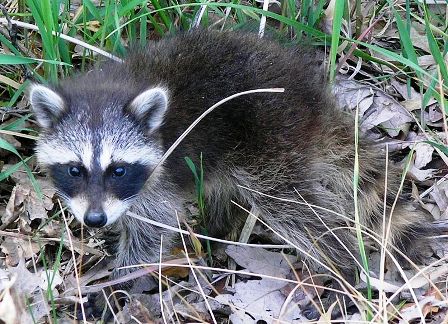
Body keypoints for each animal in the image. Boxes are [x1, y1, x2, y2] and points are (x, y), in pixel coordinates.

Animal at [30, 29, 440, 318]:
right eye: (75, 169)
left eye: (118, 169)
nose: (95, 220)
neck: (109, 92)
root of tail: (314, 99)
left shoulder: (157, 178)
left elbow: (151, 233)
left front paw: (118, 284)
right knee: (226, 190)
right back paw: (217, 233)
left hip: (272, 138)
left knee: (295, 209)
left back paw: (342, 268)